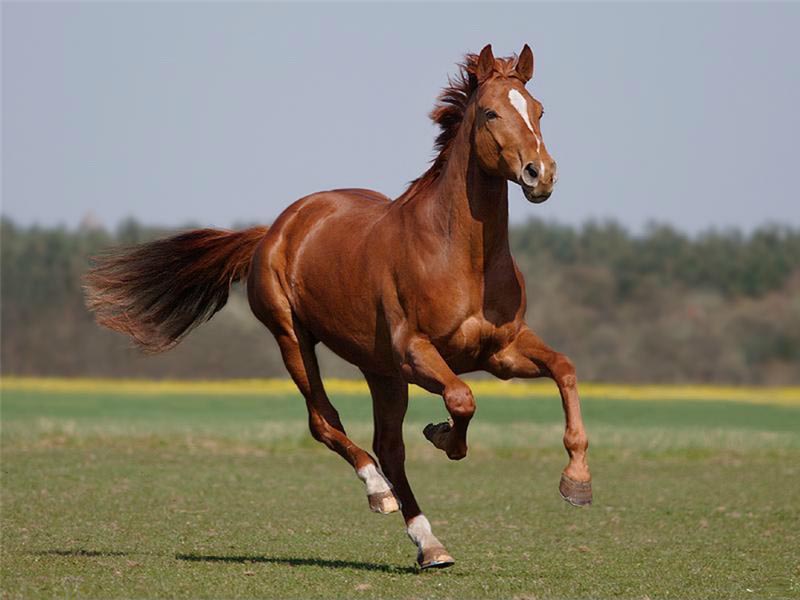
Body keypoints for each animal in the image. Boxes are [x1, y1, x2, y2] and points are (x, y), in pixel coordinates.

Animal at [84, 44, 592, 568]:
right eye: (491, 112)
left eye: (539, 110)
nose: (540, 174)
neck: (460, 256)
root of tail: (272, 231)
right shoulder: (415, 352)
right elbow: (461, 399)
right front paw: (444, 438)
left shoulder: (500, 351)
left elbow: (564, 369)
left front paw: (576, 483)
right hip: (296, 340)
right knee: (325, 422)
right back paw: (378, 492)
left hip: (380, 370)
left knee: (388, 446)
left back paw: (430, 545)